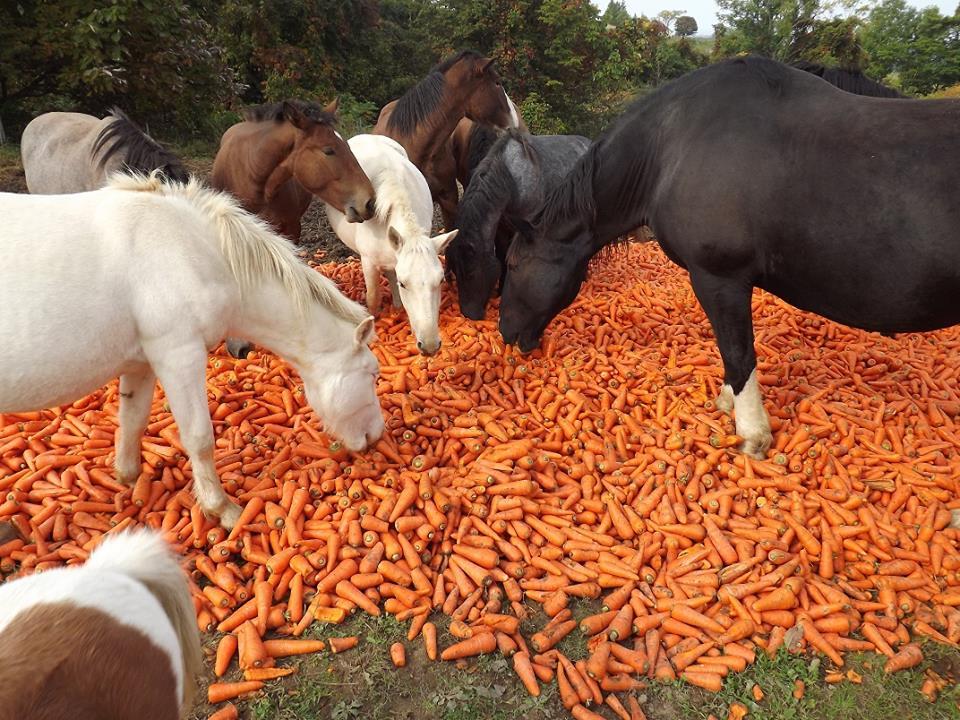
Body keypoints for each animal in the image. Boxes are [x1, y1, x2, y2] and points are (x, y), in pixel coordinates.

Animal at [0, 173, 384, 528]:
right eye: (371, 374)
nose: (376, 435)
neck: (193, 251)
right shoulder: (179, 356)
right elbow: (199, 437)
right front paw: (221, 508)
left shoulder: (141, 363)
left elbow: (133, 420)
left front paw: (129, 479)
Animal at [447, 129, 590, 320]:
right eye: (455, 271)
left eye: (470, 273)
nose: (469, 314)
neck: (511, 180)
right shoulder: (501, 229)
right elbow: (502, 255)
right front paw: (500, 291)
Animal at [499, 56, 960, 476]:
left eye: (514, 263)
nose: (505, 331)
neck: (673, 145)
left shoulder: (719, 278)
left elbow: (737, 351)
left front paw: (752, 433)